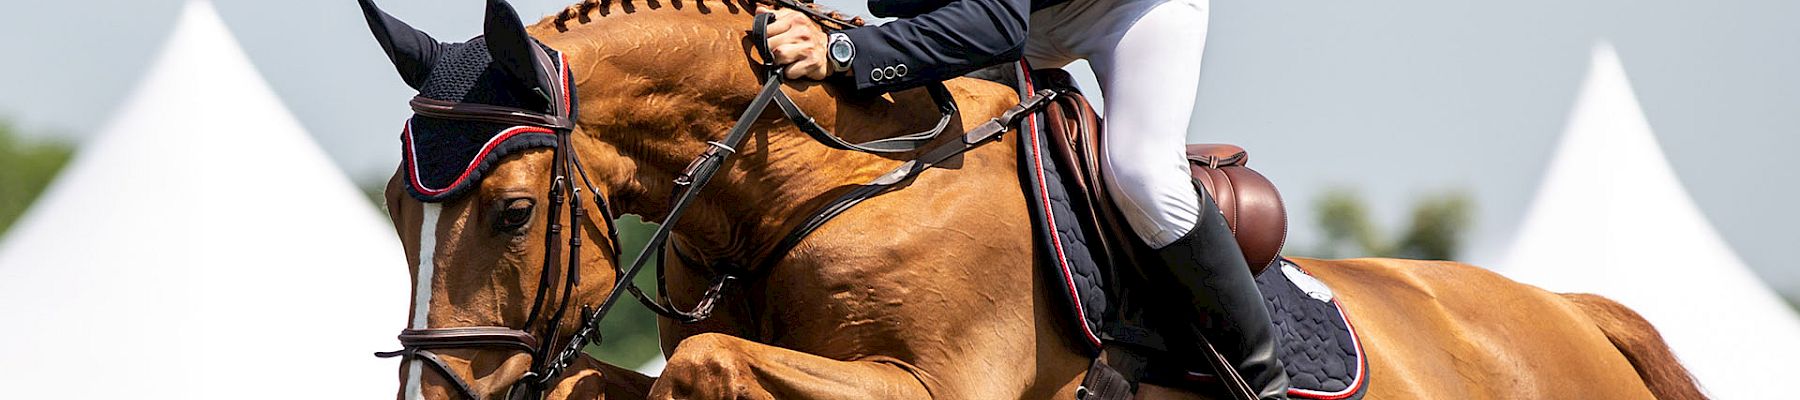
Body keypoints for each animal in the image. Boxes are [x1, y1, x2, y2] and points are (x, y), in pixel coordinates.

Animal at [367, 0, 1707, 398]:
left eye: (512, 213)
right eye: (395, 208)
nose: (439, 394)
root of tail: (1571, 311)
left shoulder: (941, 387)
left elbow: (703, 365)